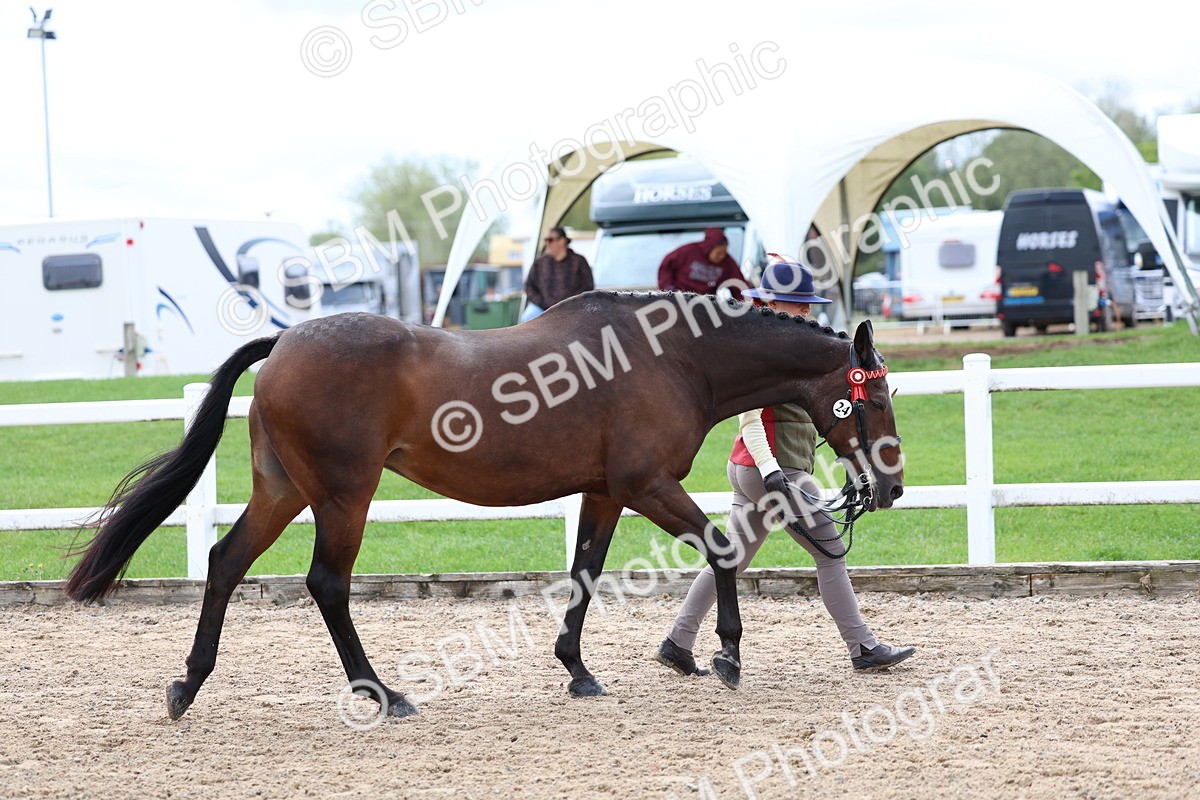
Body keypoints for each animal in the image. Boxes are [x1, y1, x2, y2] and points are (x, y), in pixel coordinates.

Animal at [64, 290, 904, 721]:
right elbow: (721, 548)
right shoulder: (644, 486)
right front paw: (724, 653)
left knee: (224, 562)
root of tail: (286, 343)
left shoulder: (604, 493)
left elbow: (585, 576)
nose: (891, 488)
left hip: (284, 490)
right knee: (327, 585)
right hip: (342, 496)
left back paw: (188, 684)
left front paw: (578, 670)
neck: (672, 357)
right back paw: (383, 694)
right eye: (873, 397)